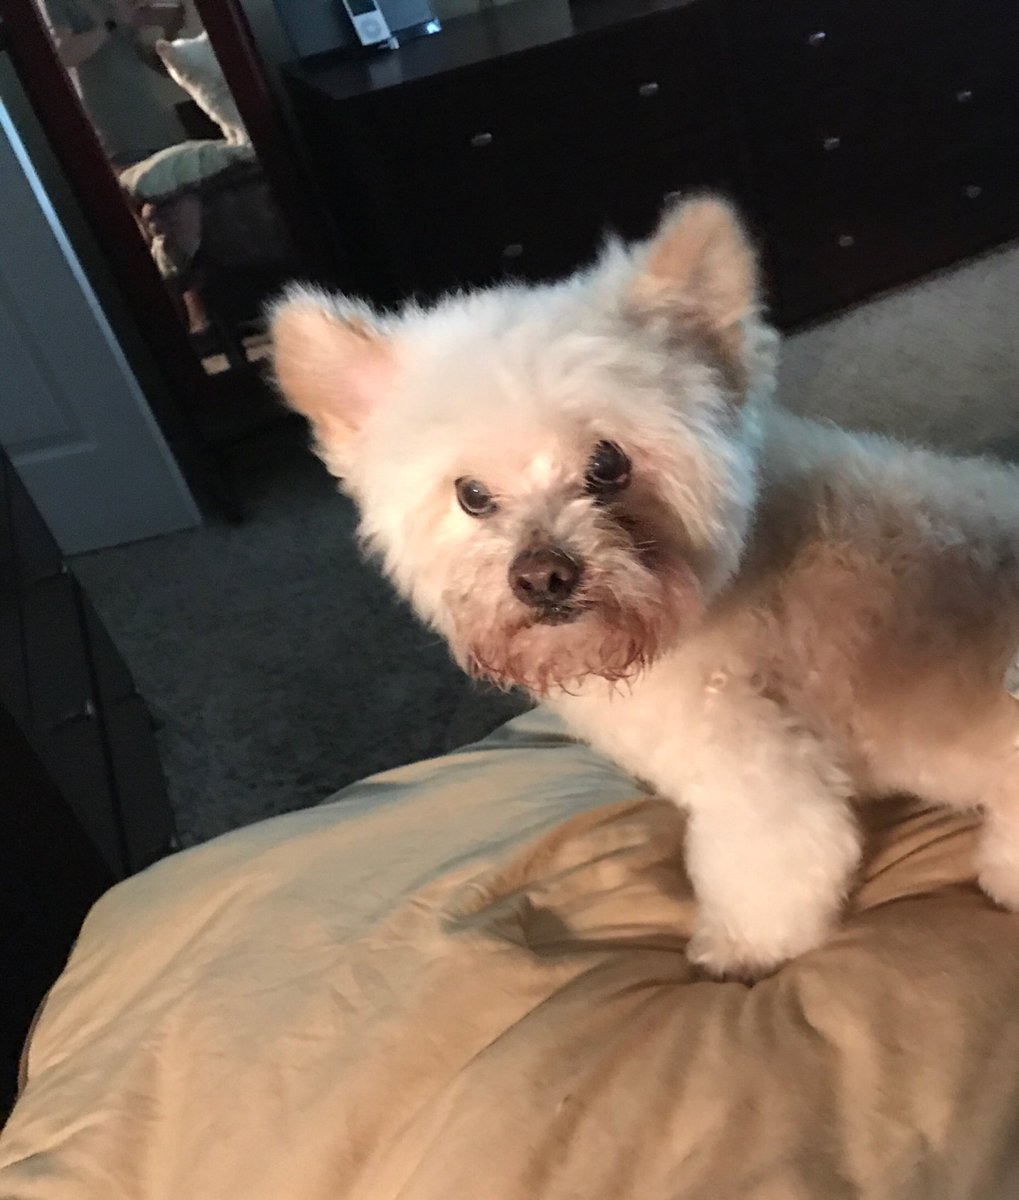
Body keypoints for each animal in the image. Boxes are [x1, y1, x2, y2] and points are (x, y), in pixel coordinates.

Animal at [269, 196, 1019, 978]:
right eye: (472, 495)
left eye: (607, 464)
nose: (542, 576)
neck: (731, 570)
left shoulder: (764, 782)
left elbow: (769, 875)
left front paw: (736, 953)